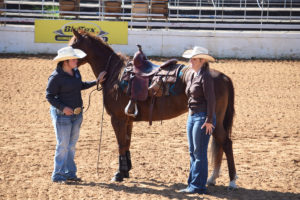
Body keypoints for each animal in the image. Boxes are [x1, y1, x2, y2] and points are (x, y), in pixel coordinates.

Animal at [69, 29, 238, 188]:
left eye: (73, 45)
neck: (114, 74)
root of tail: (223, 77)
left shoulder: (117, 119)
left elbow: (121, 144)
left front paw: (119, 174)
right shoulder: (128, 120)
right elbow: (127, 143)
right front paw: (126, 171)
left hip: (214, 121)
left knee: (226, 143)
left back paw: (232, 181)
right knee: (221, 145)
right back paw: (212, 179)